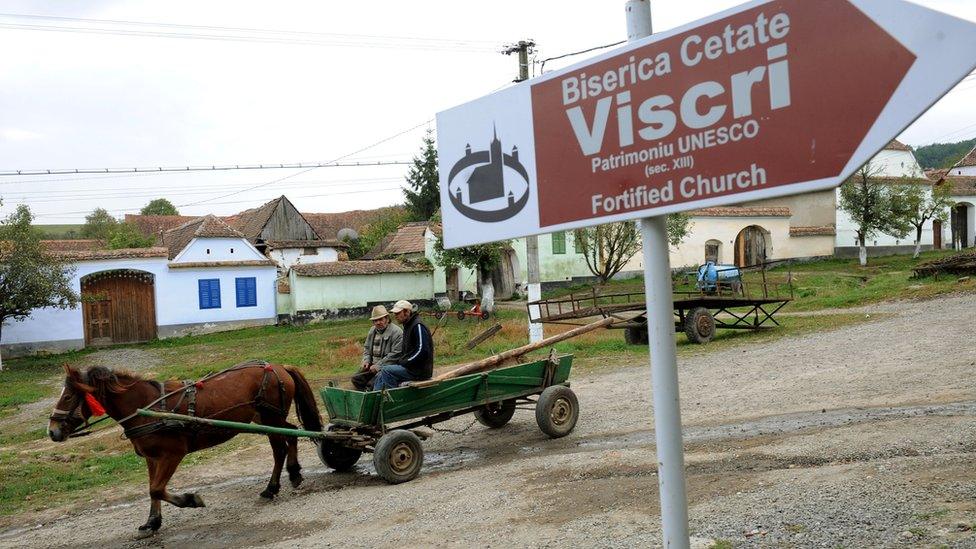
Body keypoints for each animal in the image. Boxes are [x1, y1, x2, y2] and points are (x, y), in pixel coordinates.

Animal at [47, 362, 322, 536]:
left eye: (68, 397)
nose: (52, 431)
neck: (147, 407)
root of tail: (279, 367)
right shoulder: (152, 458)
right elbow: (152, 490)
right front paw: (152, 522)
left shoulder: (172, 455)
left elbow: (157, 489)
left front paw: (190, 500)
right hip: (267, 419)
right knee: (292, 436)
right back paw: (294, 473)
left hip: (271, 417)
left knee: (279, 448)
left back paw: (272, 487)